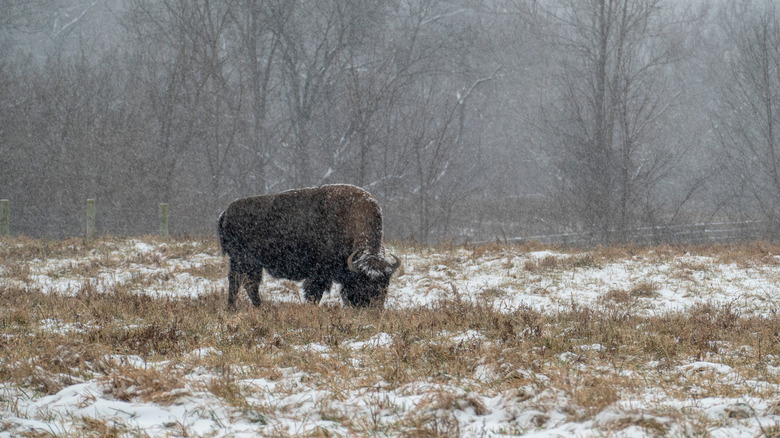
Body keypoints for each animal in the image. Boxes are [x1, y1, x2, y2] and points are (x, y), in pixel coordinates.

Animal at [217, 184, 401, 308]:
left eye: (385, 282)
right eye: (363, 281)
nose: (373, 306)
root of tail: (225, 212)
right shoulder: (318, 273)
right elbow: (314, 293)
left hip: (249, 263)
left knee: (247, 283)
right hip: (244, 260)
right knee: (240, 281)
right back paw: (238, 307)